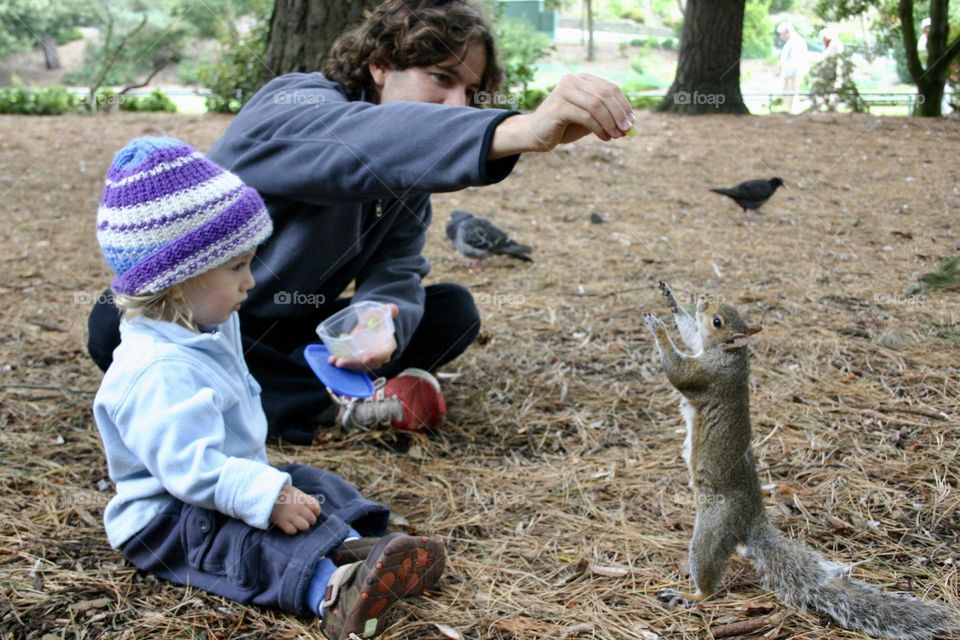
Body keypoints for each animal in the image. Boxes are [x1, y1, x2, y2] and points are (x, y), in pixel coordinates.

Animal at [640, 282, 956, 640]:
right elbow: (691, 333)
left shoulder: (706, 375)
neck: (730, 355)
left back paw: (690, 595)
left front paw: (659, 328)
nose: (704, 300)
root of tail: (753, 518)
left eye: (718, 321)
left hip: (713, 526)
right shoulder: (701, 349)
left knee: (708, 578)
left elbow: (679, 372)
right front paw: (672, 300)